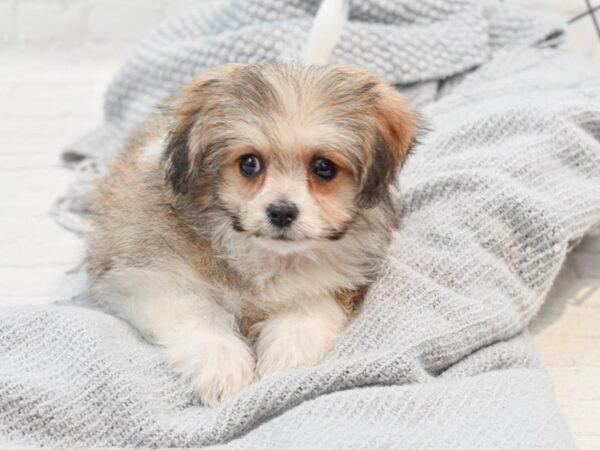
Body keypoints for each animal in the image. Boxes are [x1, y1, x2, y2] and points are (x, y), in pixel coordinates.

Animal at [86, 63, 418, 404]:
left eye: (324, 167)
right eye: (249, 163)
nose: (281, 212)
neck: (261, 257)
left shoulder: (340, 277)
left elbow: (310, 304)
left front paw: (287, 354)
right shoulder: (149, 278)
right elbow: (198, 313)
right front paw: (221, 365)